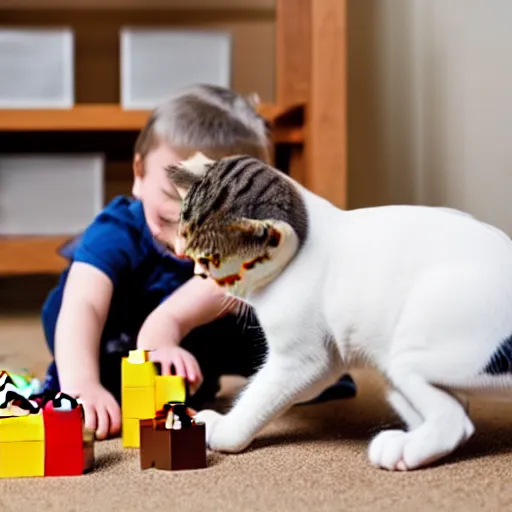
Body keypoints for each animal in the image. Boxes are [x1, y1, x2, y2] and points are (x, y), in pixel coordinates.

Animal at [163, 153, 512, 472]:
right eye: (184, 244)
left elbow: (258, 397)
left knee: (455, 422)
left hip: (415, 347)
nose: (194, 272)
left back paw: (404, 449)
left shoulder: (304, 361)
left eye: (207, 260)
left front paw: (224, 430)